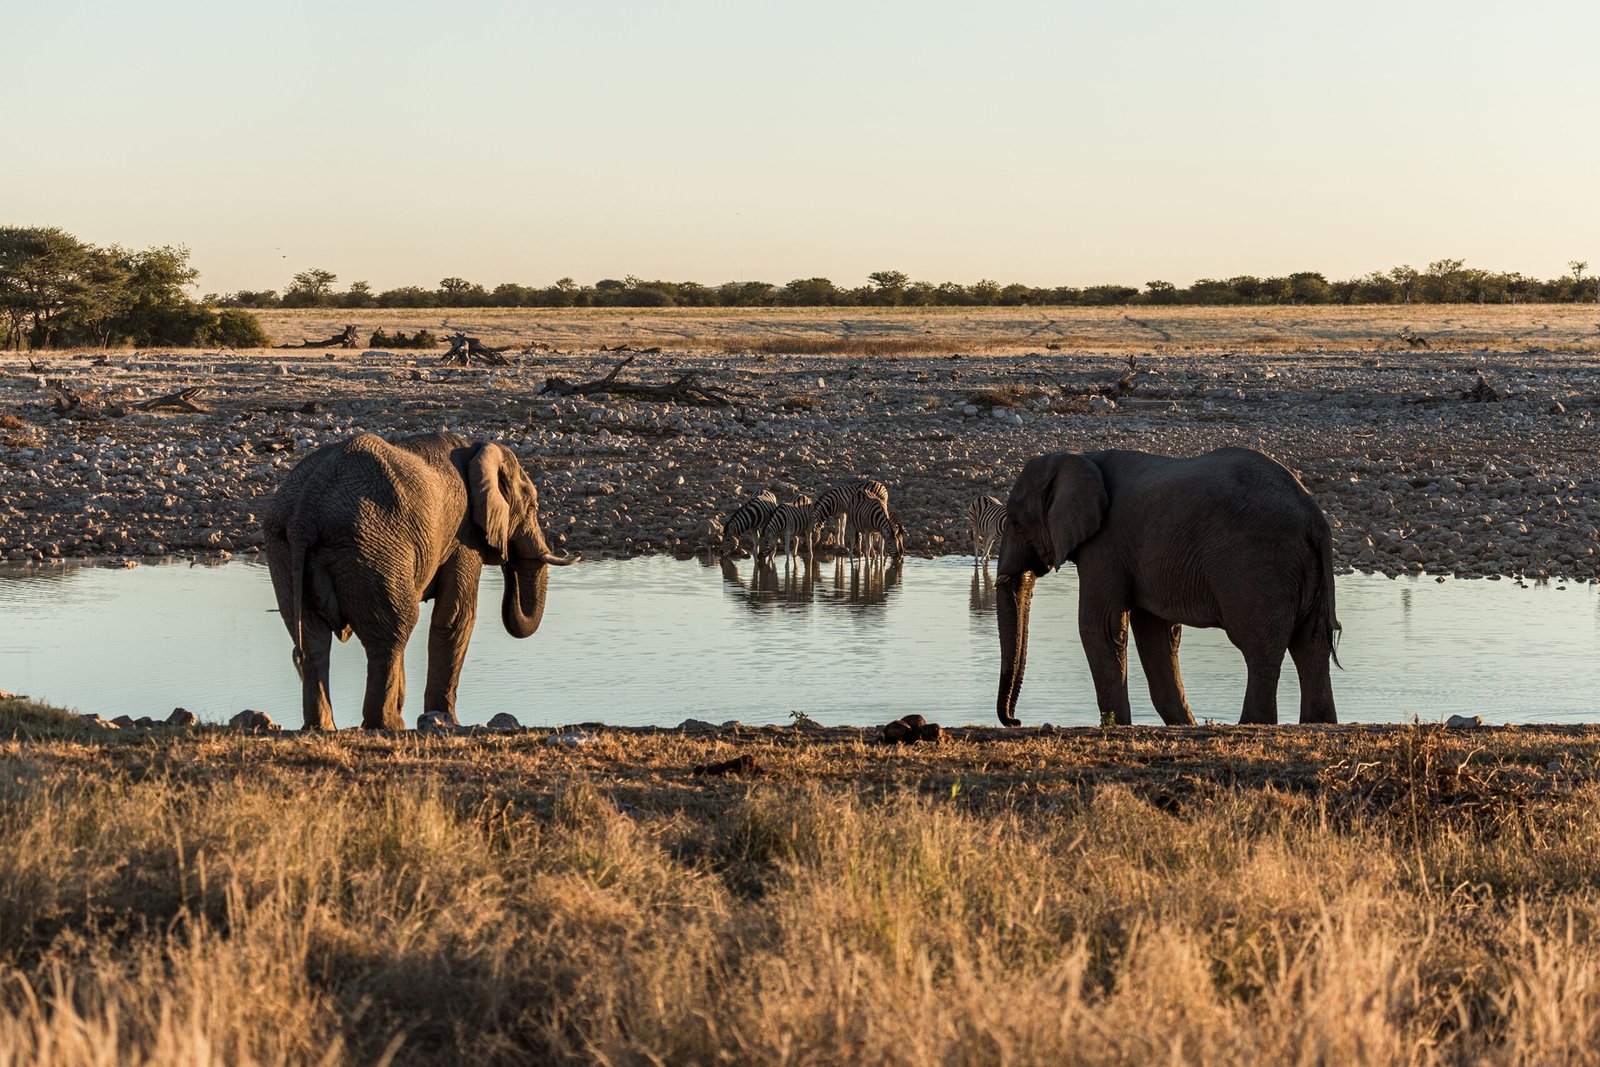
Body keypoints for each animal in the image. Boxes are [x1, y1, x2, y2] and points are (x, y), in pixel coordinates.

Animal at [264, 433, 578, 730]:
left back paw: (324, 726)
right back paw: (387, 725)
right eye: (533, 506)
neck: (476, 448)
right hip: (371, 545)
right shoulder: (462, 536)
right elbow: (456, 616)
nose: (507, 555)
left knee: (313, 639)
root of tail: (306, 510)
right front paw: (449, 720)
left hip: (283, 548)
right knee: (393, 631)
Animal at [995, 447, 1340, 727]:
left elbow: (1100, 627)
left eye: (1015, 522)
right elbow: (1156, 634)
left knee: (1260, 647)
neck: (1079, 457)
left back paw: (1253, 724)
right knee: (1311, 647)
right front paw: (1185, 725)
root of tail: (1314, 518)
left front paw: (1119, 726)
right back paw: (1319, 723)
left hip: (1259, 565)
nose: (1016, 721)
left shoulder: (1105, 544)